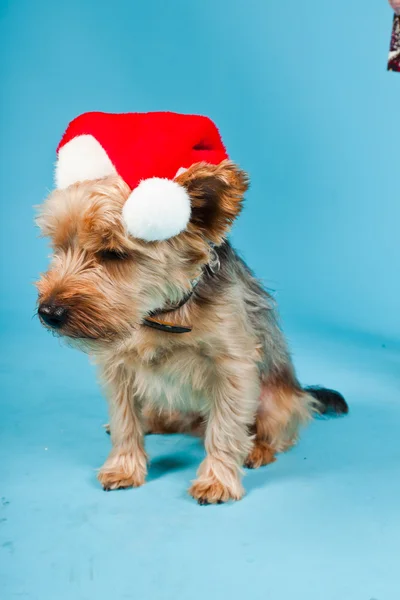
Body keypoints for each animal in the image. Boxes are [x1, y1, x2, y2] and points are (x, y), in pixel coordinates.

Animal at [35, 111, 346, 502]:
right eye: (59, 247)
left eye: (113, 254)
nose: (48, 312)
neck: (161, 313)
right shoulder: (116, 368)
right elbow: (125, 419)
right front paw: (124, 466)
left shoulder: (232, 367)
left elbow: (225, 428)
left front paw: (218, 480)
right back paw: (155, 421)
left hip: (277, 399)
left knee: (275, 429)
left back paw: (258, 449)